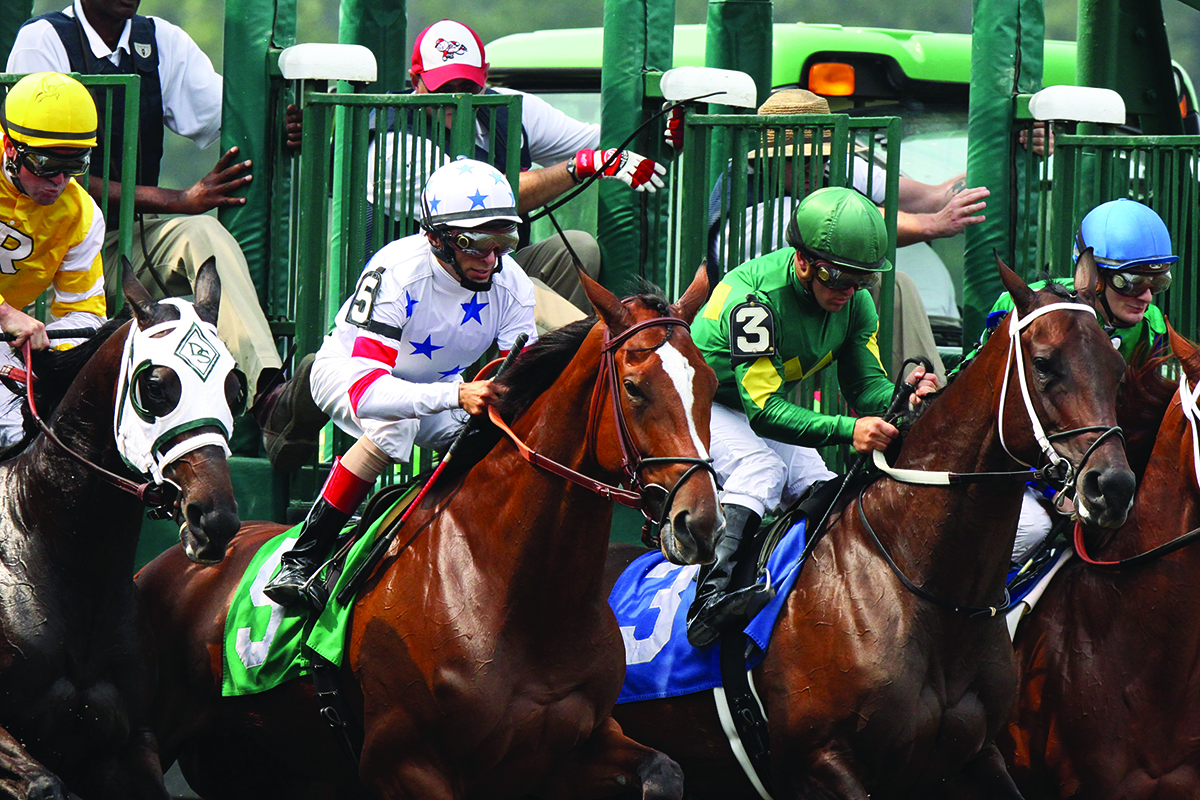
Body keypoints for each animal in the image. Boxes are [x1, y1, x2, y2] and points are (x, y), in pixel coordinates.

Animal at [137, 268, 724, 800]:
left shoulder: (575, 746)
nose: (699, 522)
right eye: (634, 387)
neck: (513, 593)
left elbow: (665, 772)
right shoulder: (405, 764)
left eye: (711, 384)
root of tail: (177, 560)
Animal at [604, 256, 1137, 800]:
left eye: (1117, 371)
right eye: (1045, 364)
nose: (1111, 486)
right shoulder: (823, 765)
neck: (919, 583)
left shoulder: (975, 756)